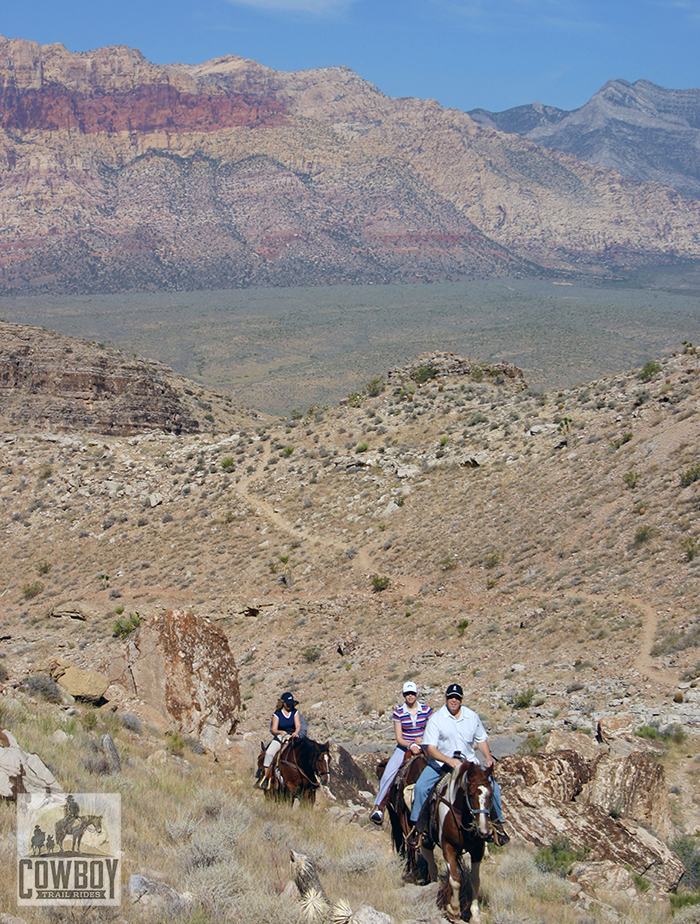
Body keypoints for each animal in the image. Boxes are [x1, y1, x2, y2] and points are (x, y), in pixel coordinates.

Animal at [388, 756, 492, 924]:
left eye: (491, 794)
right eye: (470, 794)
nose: (483, 830)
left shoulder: (477, 850)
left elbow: (475, 880)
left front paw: (475, 915)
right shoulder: (448, 847)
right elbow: (455, 879)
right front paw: (454, 910)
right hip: (419, 836)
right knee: (430, 864)